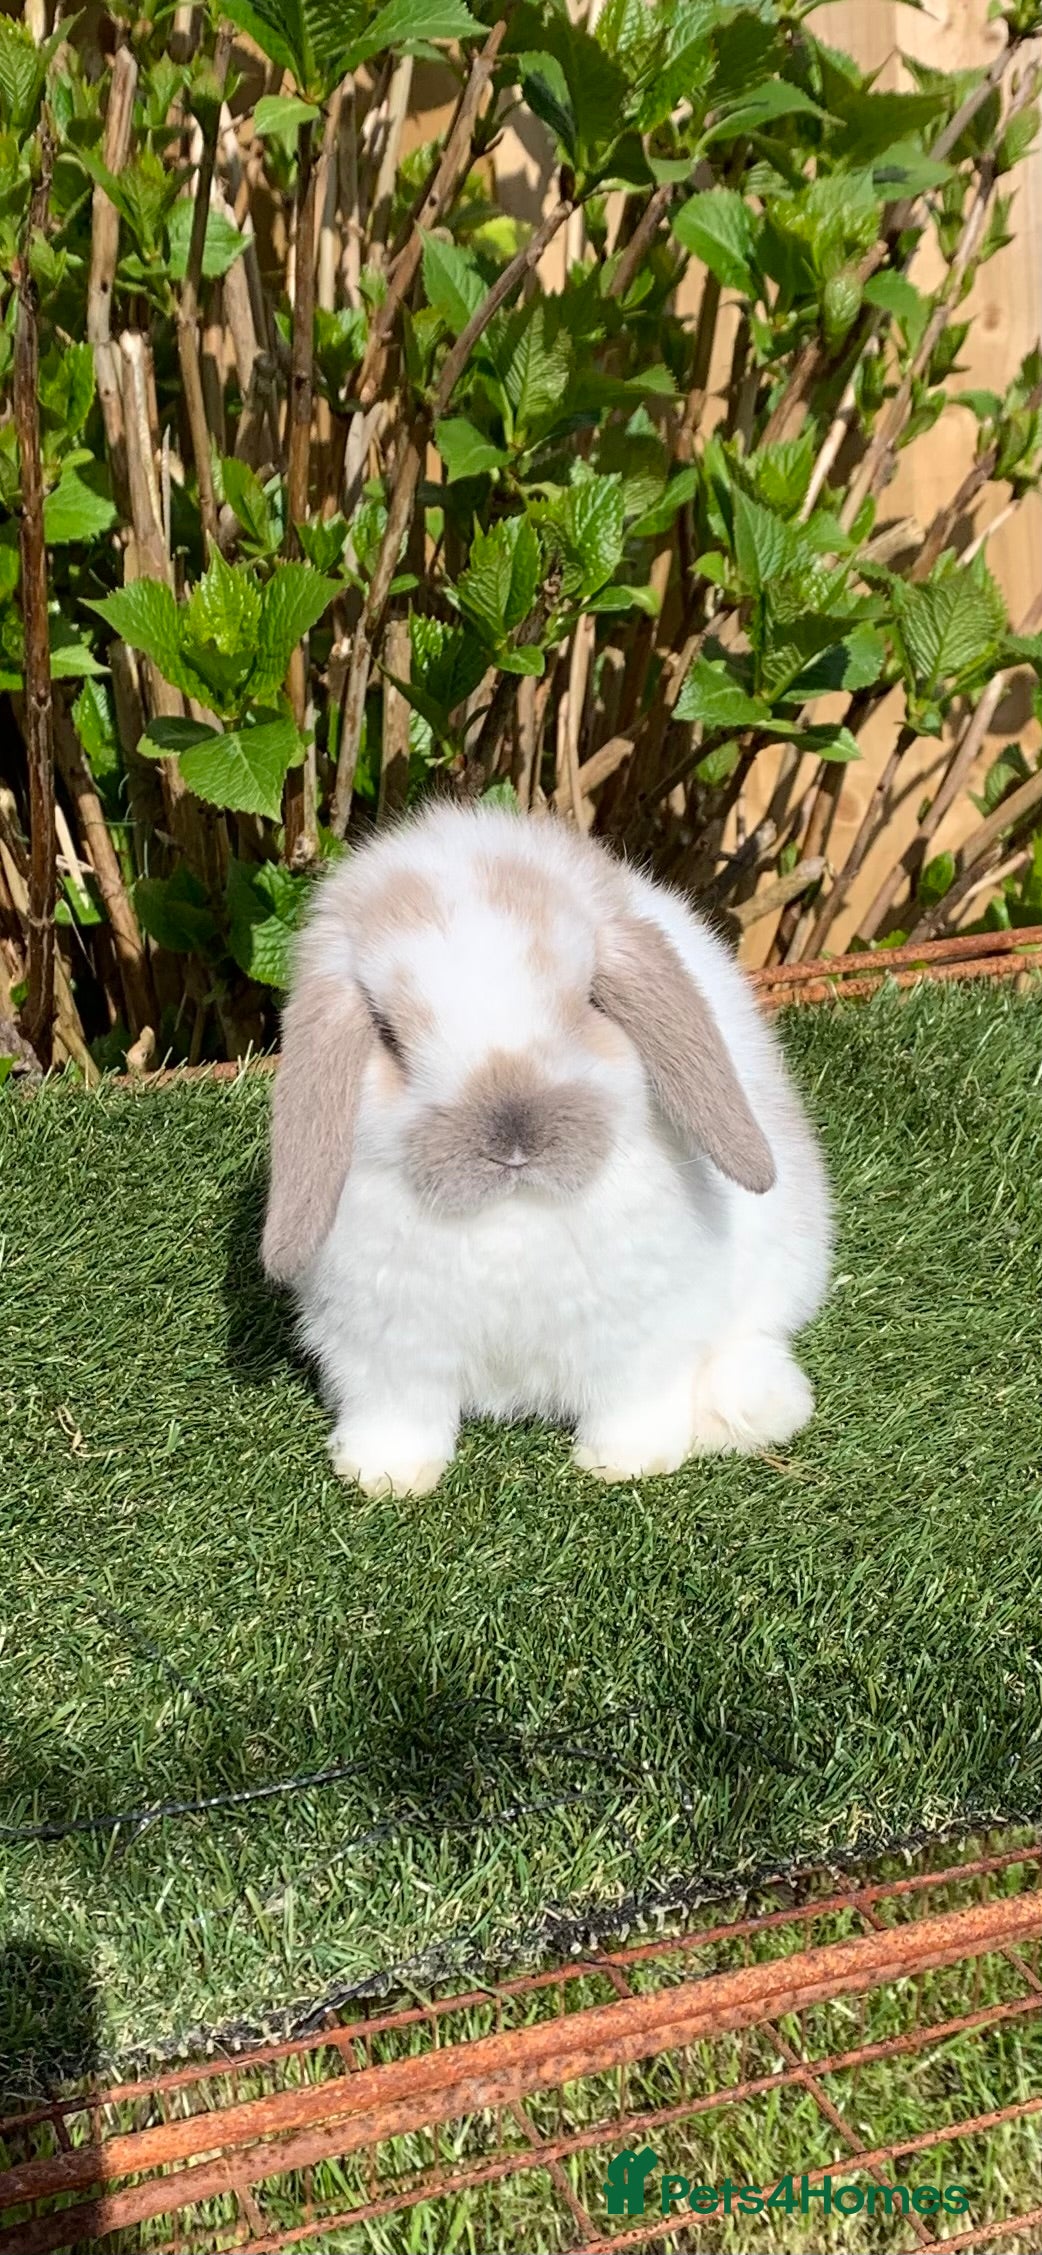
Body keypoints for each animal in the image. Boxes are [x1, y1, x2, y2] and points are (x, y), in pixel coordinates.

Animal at [262, 801, 832, 1497]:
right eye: (390, 1037)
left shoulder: (641, 1336)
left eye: (589, 1001)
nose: (513, 1138)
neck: (512, 1215)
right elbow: (399, 1416)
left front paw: (627, 1462)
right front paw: (386, 1476)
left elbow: (633, 1401)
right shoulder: (389, 1355)